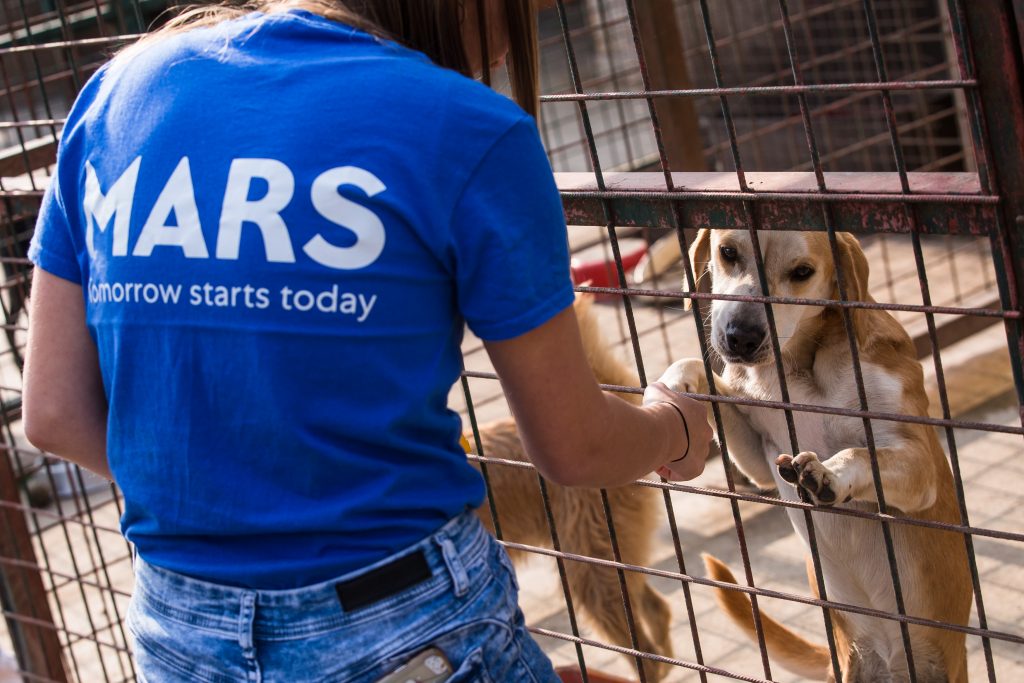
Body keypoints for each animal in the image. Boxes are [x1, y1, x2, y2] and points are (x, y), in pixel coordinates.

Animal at [663, 231, 966, 683]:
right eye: (728, 252)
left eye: (802, 272)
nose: (741, 337)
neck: (799, 367)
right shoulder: (759, 459)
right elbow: (705, 376)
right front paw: (676, 380)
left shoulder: (918, 461)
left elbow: (862, 451)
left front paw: (830, 474)